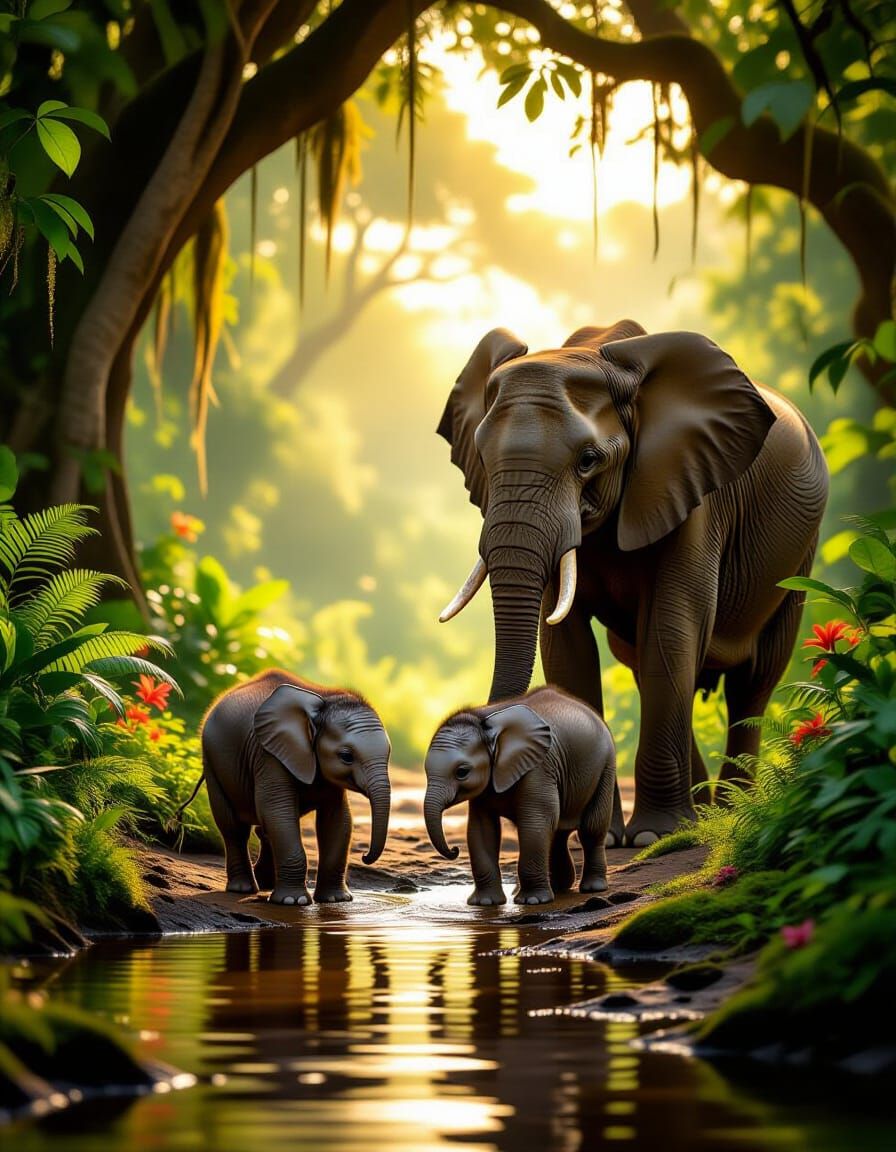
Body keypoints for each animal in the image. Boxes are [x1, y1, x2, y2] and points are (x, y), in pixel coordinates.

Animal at [193, 669, 392, 904]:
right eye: (346, 756)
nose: (364, 856)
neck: (325, 700)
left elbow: (338, 819)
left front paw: (336, 900)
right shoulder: (269, 755)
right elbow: (278, 811)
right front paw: (293, 902)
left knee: (263, 828)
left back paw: (266, 884)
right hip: (212, 762)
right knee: (234, 828)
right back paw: (242, 889)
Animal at [424, 686, 616, 906]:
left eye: (462, 772)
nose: (455, 850)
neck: (485, 718)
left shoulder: (539, 768)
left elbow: (535, 823)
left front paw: (532, 901)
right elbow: (480, 829)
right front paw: (485, 903)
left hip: (606, 766)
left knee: (591, 829)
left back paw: (592, 888)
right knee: (558, 831)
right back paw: (560, 887)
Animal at [437, 320, 829, 846]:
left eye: (588, 460)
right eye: (479, 454)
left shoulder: (689, 491)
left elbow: (672, 628)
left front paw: (652, 838)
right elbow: (568, 646)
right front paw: (606, 837)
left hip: (799, 558)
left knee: (752, 681)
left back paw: (727, 814)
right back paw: (701, 816)